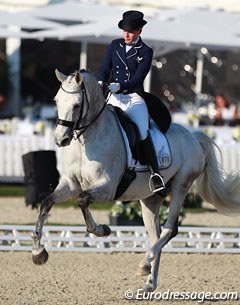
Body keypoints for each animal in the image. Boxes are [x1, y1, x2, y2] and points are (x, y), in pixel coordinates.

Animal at [31, 69, 240, 292]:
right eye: (56, 101)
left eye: (77, 105)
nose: (60, 140)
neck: (87, 140)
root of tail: (194, 137)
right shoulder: (71, 185)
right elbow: (47, 202)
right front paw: (38, 253)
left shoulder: (107, 188)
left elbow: (82, 200)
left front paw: (101, 230)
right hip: (150, 198)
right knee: (156, 234)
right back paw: (149, 282)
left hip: (182, 185)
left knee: (170, 229)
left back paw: (144, 264)